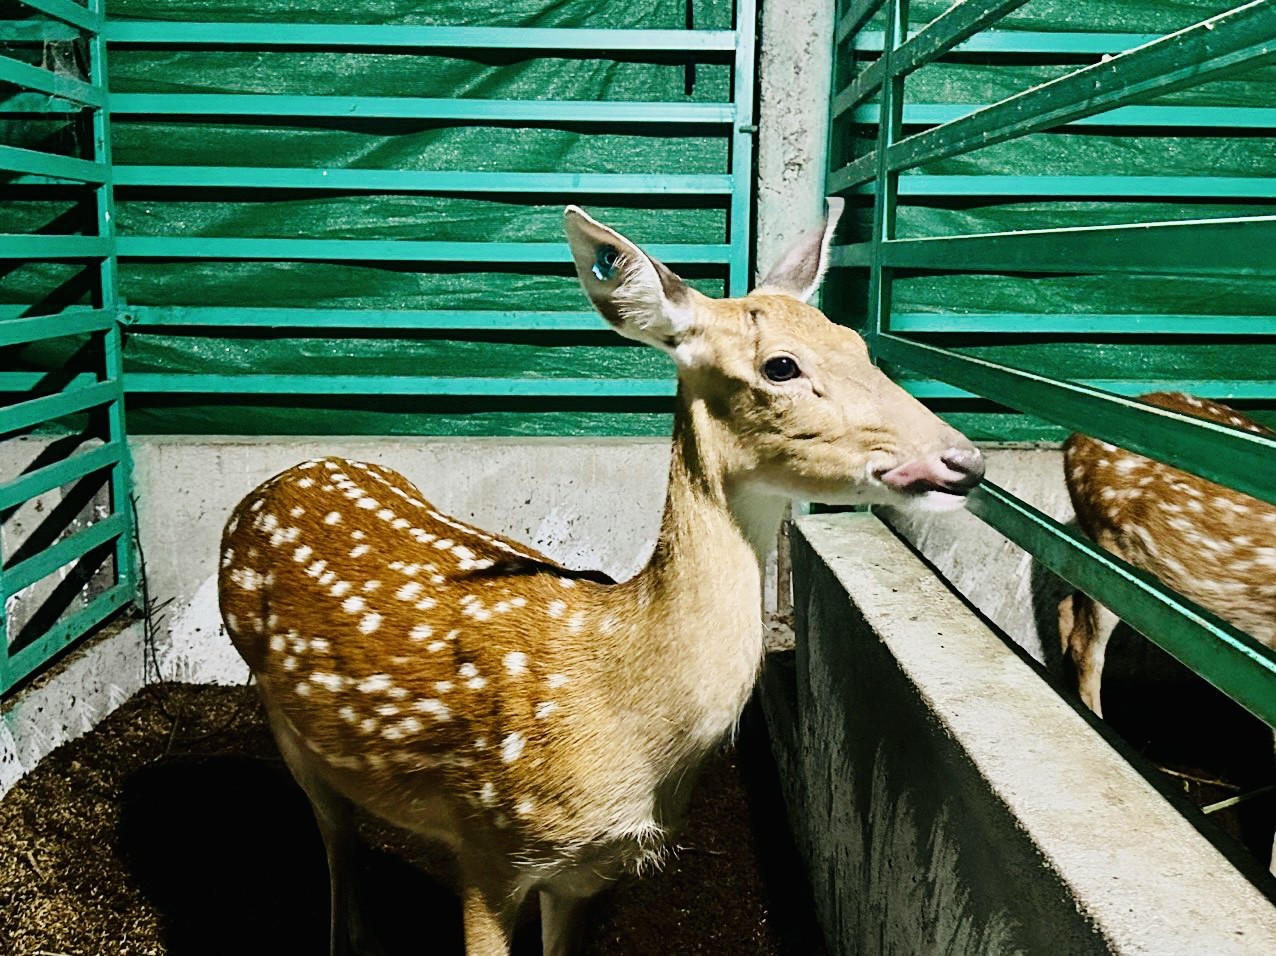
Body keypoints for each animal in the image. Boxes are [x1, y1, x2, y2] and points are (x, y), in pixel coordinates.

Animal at [216, 197, 985, 949]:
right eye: (780, 367)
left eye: (859, 343)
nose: (965, 461)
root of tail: (283, 476)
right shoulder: (488, 842)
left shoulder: (587, 870)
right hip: (287, 721)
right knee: (334, 836)